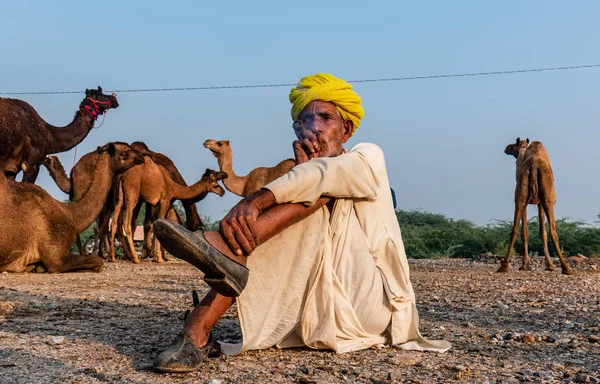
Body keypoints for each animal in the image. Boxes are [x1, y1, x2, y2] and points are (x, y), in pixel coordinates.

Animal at [496, 136, 572, 274]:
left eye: (513, 145)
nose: (506, 148)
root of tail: (534, 165)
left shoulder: (529, 202)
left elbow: (532, 232)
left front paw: (529, 265)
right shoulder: (541, 203)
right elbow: (541, 232)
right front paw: (547, 265)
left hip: (521, 199)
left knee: (514, 230)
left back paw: (503, 267)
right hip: (548, 200)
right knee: (553, 231)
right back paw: (566, 268)